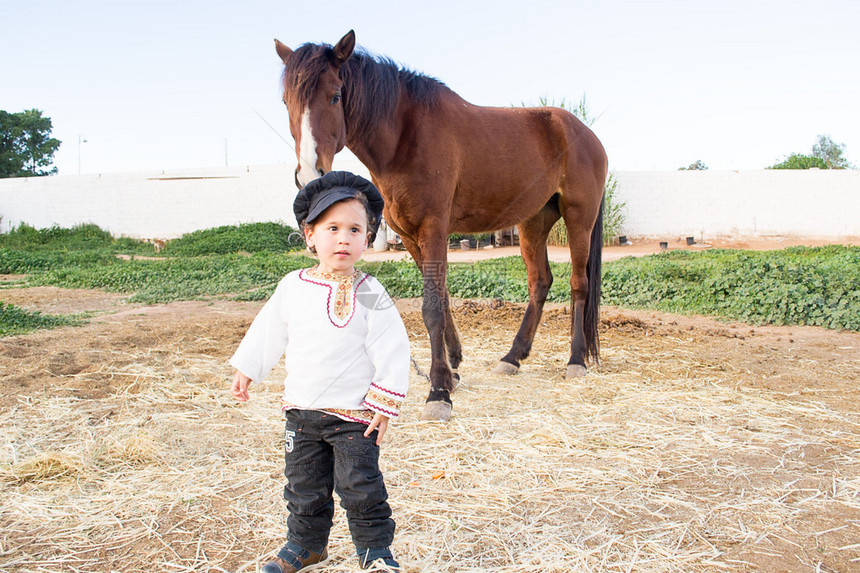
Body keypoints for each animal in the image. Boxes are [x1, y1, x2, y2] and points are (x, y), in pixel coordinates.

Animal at [274, 30, 604, 420]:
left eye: (335, 95)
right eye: (286, 101)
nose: (311, 173)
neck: (406, 135)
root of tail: (583, 132)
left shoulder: (433, 229)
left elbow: (431, 307)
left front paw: (439, 391)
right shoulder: (411, 236)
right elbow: (443, 298)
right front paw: (452, 367)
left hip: (579, 217)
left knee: (579, 283)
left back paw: (576, 359)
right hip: (533, 221)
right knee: (540, 282)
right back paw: (513, 357)